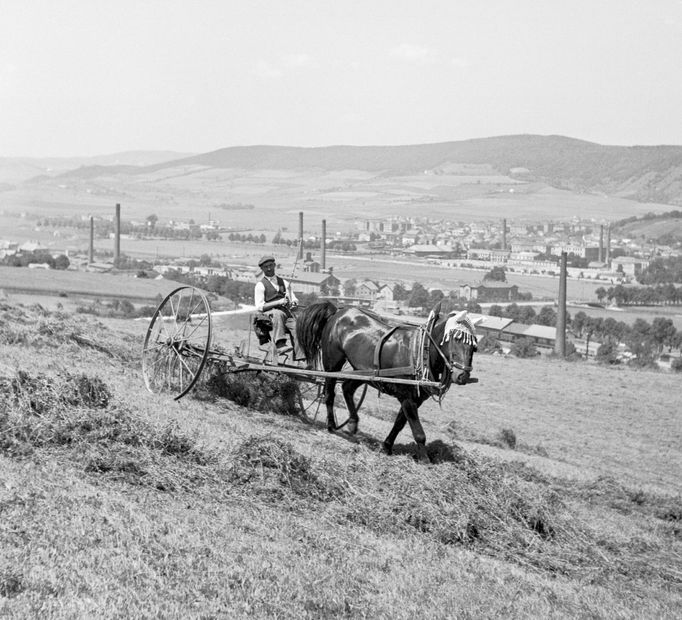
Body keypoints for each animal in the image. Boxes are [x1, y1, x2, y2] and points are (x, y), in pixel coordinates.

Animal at [294, 302, 476, 462]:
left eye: (474, 346)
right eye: (454, 339)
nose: (462, 376)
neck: (420, 351)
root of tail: (337, 312)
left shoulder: (415, 399)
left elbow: (399, 423)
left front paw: (387, 446)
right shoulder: (407, 397)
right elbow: (418, 432)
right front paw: (425, 458)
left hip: (364, 371)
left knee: (347, 388)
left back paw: (352, 423)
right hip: (332, 363)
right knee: (329, 393)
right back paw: (331, 425)